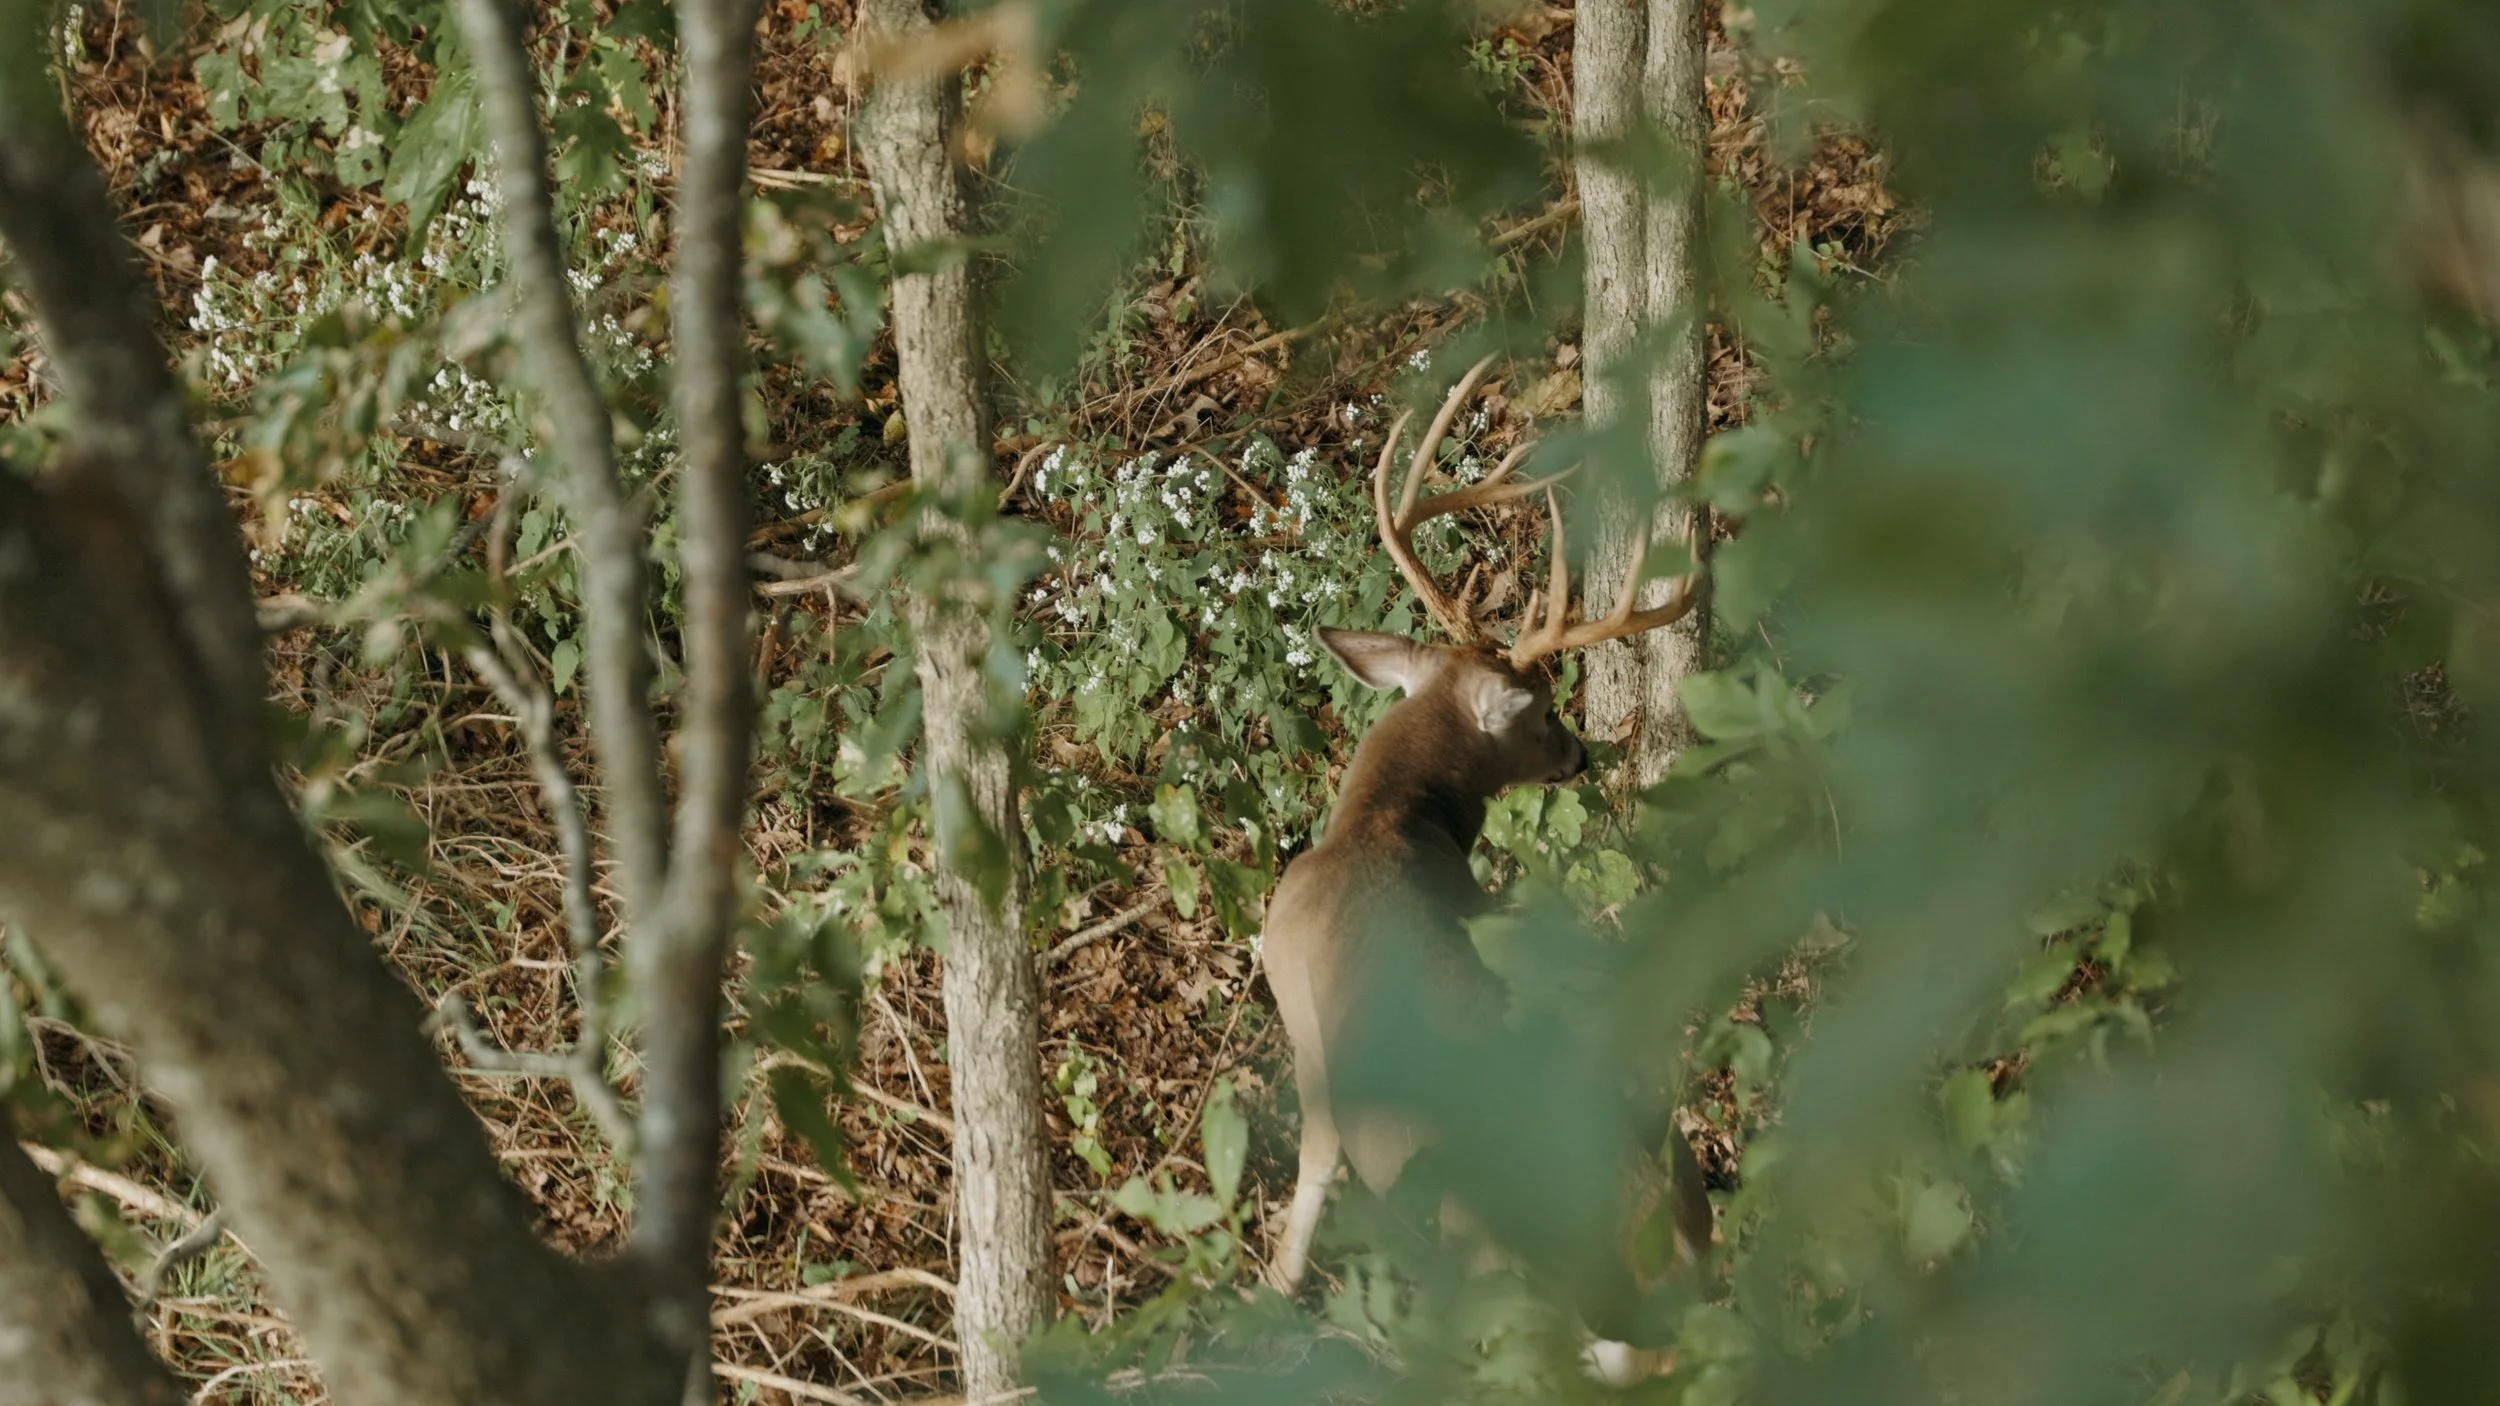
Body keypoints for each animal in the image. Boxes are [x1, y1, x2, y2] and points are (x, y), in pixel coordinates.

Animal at [1258, 356, 1713, 1377]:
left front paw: (1275, 1284)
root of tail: (1657, 1278)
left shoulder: (1303, 1025)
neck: (1377, 826)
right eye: (1544, 713)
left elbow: (1311, 1178)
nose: (1579, 754)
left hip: (1503, 1299)